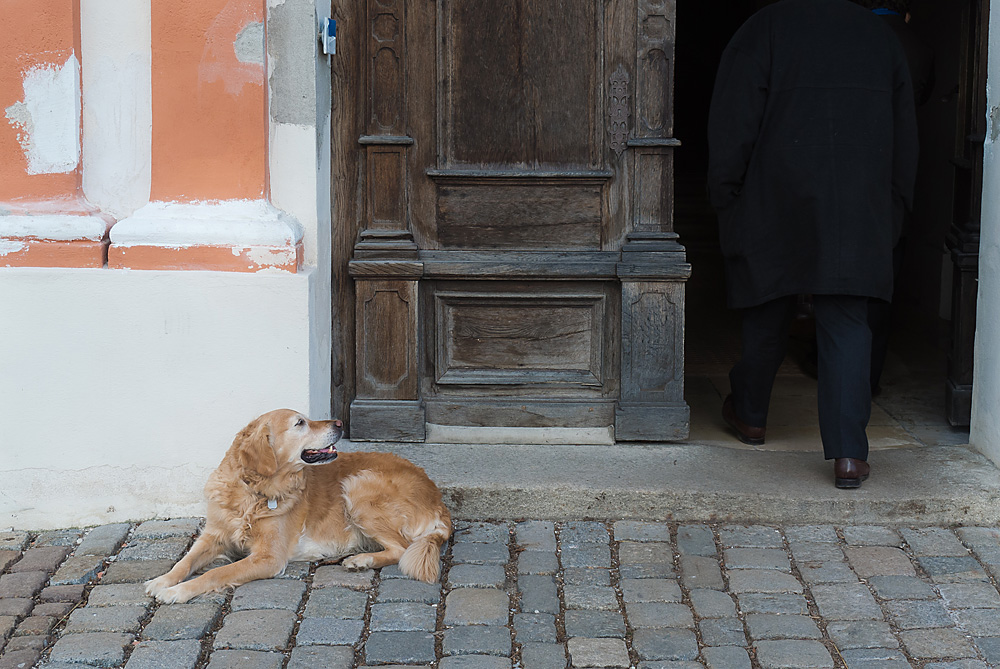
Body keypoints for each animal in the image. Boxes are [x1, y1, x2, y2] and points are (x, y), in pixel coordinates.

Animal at [144, 404, 450, 604]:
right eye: (300, 423)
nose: (340, 423)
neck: (253, 491)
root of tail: (438, 498)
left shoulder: (268, 557)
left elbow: (217, 572)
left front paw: (177, 592)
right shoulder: (213, 536)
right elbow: (185, 561)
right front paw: (162, 581)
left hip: (358, 486)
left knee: (402, 548)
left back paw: (361, 560)